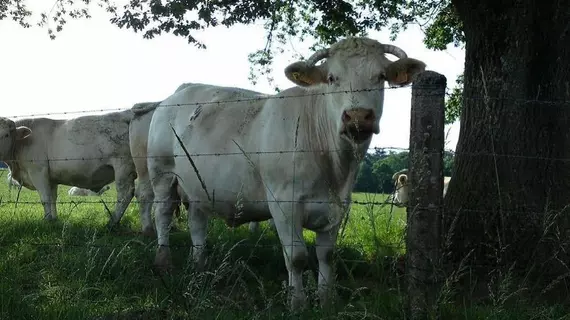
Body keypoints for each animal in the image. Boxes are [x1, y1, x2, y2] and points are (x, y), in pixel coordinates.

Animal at [0, 110, 140, 230]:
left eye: (6, 135)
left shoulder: (37, 171)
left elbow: (45, 198)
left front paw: (47, 220)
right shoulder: (51, 178)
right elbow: (53, 198)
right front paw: (54, 219)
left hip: (123, 165)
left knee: (125, 194)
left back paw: (113, 222)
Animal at [144, 37, 424, 310]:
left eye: (380, 76)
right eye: (332, 78)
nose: (357, 117)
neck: (333, 167)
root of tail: (181, 90)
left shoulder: (338, 206)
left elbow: (327, 255)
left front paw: (326, 300)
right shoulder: (284, 203)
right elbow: (297, 256)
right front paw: (297, 303)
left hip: (196, 186)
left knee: (197, 222)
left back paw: (199, 266)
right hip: (162, 172)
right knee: (163, 213)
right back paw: (163, 261)